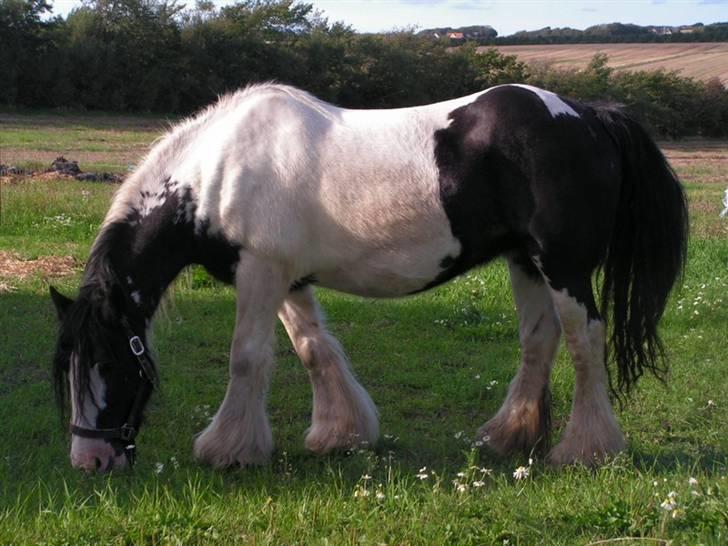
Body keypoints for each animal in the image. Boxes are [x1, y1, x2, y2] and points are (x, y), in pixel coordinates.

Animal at [51, 83, 688, 470]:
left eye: (110, 364)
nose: (91, 462)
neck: (218, 172)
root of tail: (590, 117)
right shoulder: (288, 279)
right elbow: (313, 348)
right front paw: (341, 433)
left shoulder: (260, 271)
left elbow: (247, 358)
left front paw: (228, 449)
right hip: (524, 262)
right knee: (539, 341)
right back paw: (507, 437)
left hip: (563, 266)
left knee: (584, 341)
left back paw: (585, 450)